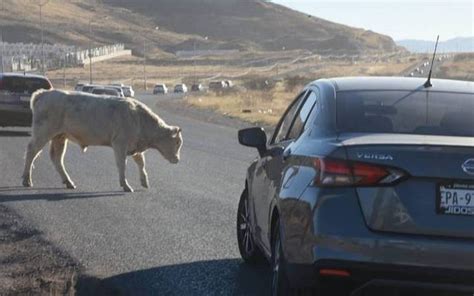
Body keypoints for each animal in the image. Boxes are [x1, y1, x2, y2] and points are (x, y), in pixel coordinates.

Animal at [21, 89, 183, 193]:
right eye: (177, 143)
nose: (177, 160)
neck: (138, 117)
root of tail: (44, 93)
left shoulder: (134, 146)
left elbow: (141, 163)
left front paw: (144, 181)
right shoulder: (120, 144)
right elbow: (122, 165)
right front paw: (125, 185)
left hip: (60, 137)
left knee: (57, 158)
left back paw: (69, 182)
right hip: (43, 133)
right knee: (31, 151)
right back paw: (27, 180)